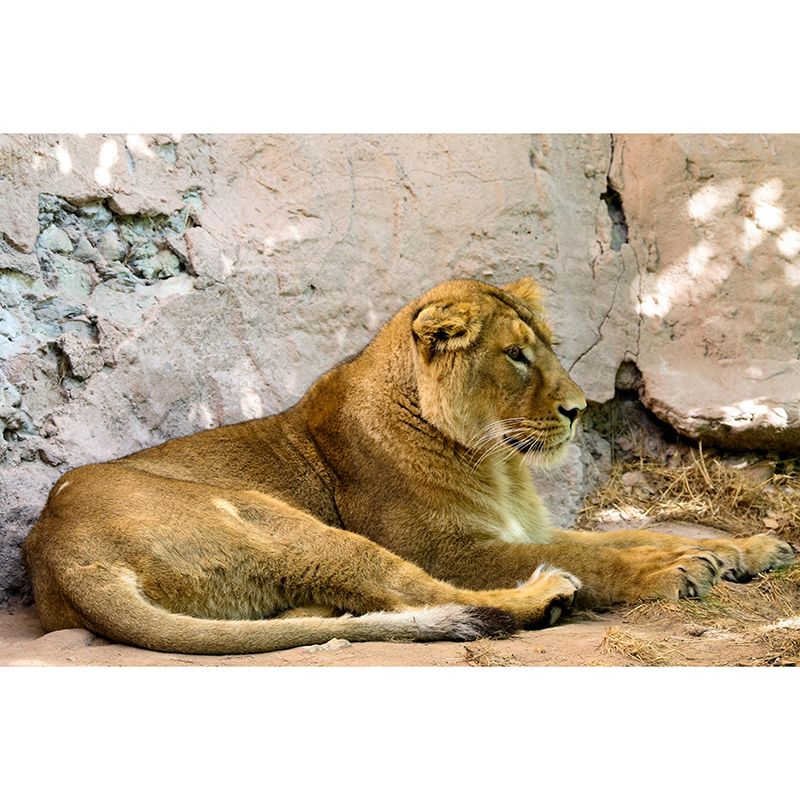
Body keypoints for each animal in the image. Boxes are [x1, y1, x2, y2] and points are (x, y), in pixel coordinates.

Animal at [23, 277, 795, 654]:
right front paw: (682, 571)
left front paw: (751, 548)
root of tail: (56, 552)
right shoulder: (449, 545)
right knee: (418, 592)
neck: (496, 461)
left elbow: (635, 533)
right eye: (515, 355)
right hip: (275, 519)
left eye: (546, 346)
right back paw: (542, 598)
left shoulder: (520, 528)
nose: (580, 409)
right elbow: (604, 558)